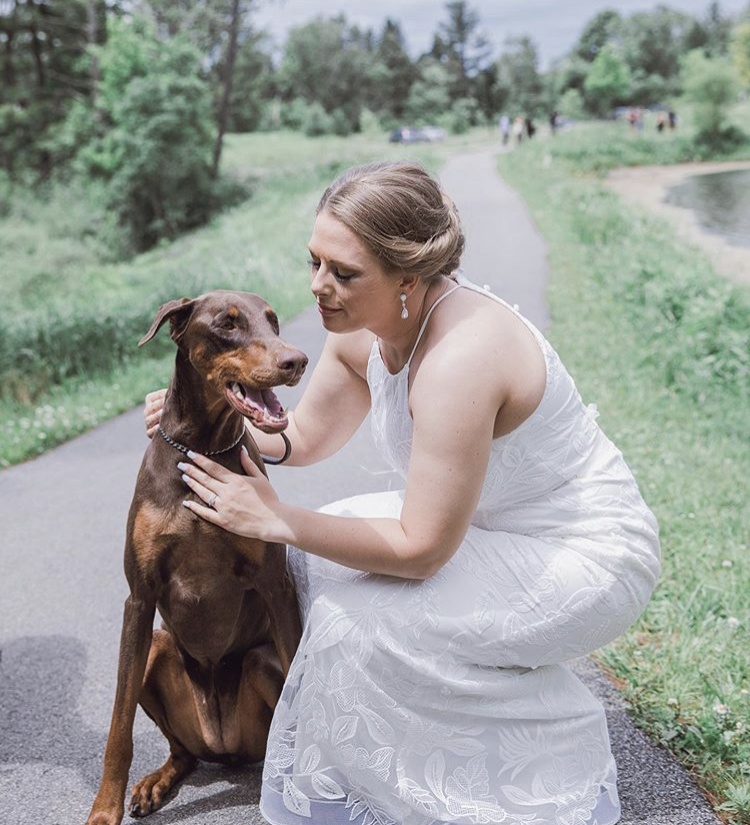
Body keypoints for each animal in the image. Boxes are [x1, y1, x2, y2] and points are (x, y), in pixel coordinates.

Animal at [87, 292, 308, 824]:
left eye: (273, 322)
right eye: (227, 325)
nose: (296, 361)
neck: (202, 449)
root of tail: (221, 744)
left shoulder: (276, 585)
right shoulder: (139, 598)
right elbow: (118, 727)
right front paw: (104, 810)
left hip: (260, 661)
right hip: (156, 651)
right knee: (182, 752)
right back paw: (157, 782)